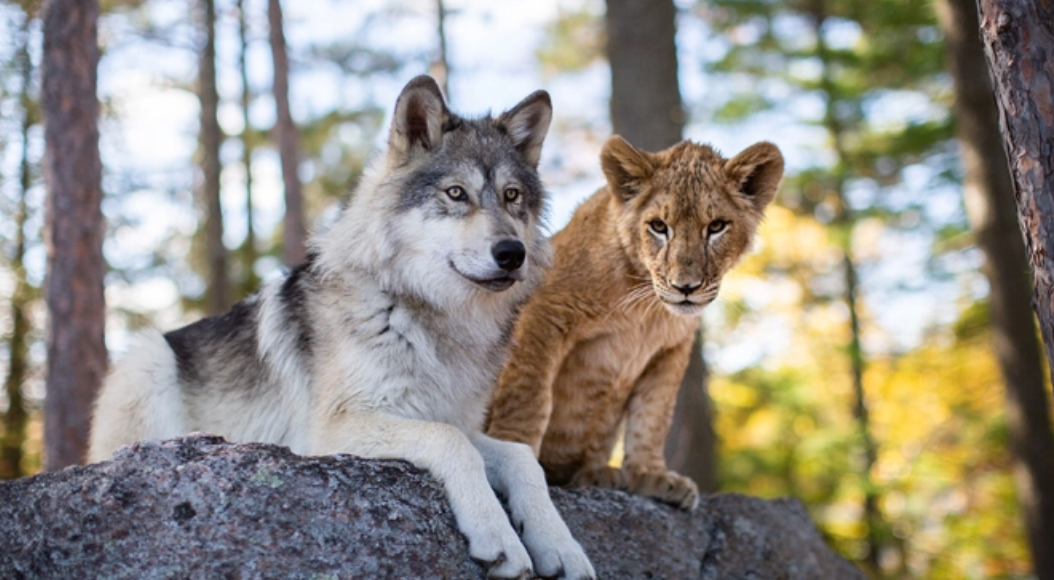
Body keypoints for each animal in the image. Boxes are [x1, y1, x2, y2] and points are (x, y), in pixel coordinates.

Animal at [88, 76, 595, 580]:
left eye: (512, 197)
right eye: (456, 194)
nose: (512, 253)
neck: (429, 316)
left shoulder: (453, 418)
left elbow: (522, 458)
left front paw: (560, 546)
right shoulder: (332, 431)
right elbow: (451, 444)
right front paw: (499, 537)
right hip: (147, 358)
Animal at [486, 135, 784, 509]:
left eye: (716, 227)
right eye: (658, 226)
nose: (685, 288)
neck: (648, 309)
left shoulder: (672, 349)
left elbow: (653, 415)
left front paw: (650, 476)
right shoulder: (543, 311)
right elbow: (529, 394)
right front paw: (515, 455)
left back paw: (598, 474)